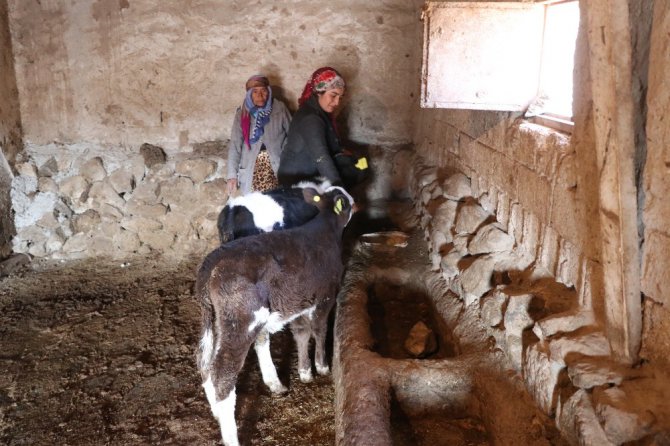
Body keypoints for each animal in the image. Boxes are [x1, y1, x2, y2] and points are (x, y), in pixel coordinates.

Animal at [197, 186, 354, 446]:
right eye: (346, 200)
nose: (353, 200)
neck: (324, 229)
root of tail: (213, 261)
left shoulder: (299, 301)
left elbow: (301, 333)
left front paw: (305, 372)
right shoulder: (325, 296)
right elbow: (320, 329)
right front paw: (322, 367)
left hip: (216, 320)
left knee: (207, 364)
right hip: (241, 322)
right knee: (223, 373)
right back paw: (231, 434)